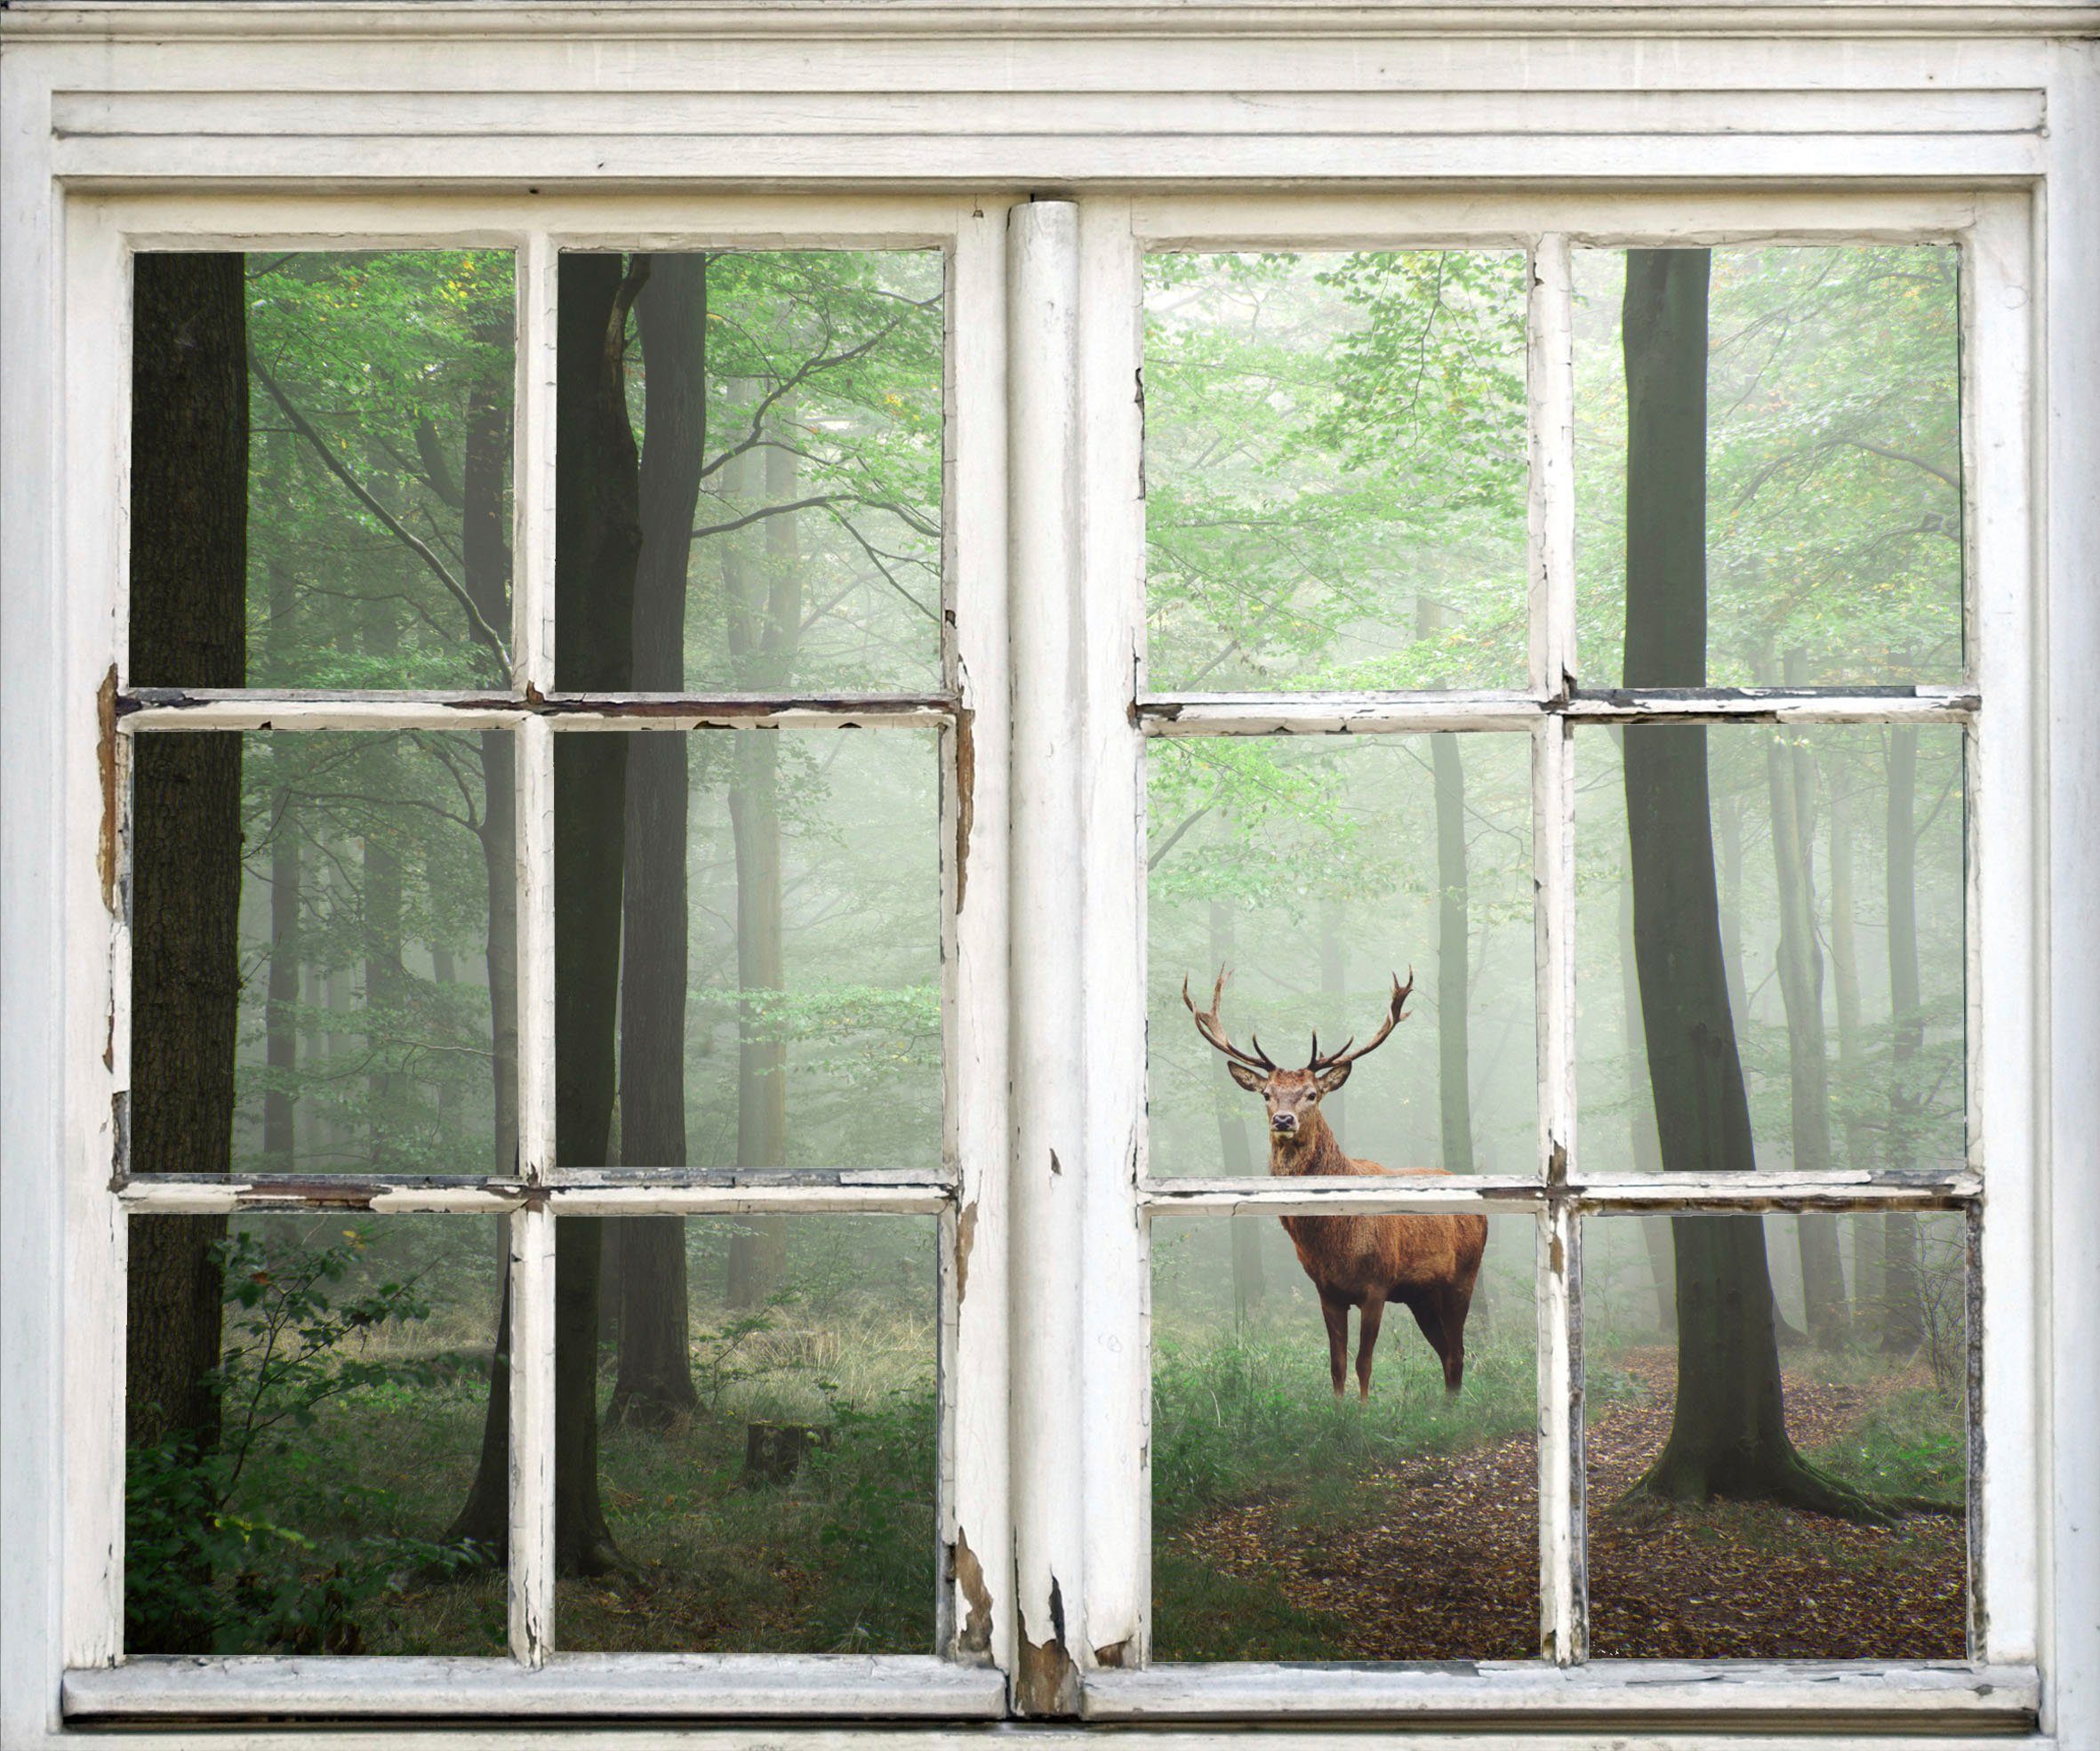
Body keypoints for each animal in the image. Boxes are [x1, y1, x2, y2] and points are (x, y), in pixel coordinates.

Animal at [1185, 967, 1487, 1400]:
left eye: (1312, 1093)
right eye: (1266, 1094)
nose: (1283, 1120)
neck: (1334, 1237)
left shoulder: (1377, 1285)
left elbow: (1364, 1363)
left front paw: (1362, 1413)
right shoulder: (1327, 1291)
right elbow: (1337, 1365)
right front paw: (1339, 1410)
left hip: (1464, 1278)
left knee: (1459, 1353)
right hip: (1421, 1295)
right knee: (1446, 1353)